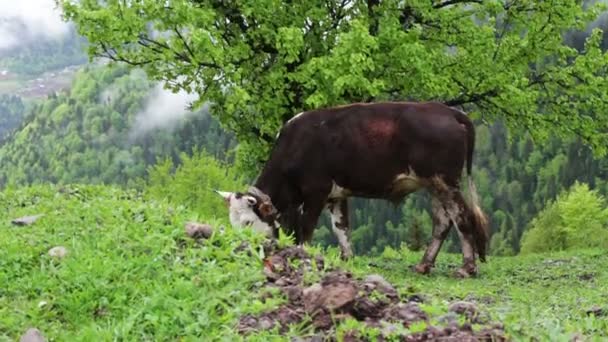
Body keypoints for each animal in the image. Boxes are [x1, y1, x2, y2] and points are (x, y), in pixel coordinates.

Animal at [216, 100, 492, 276]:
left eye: (248, 222)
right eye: (232, 222)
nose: (240, 249)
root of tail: (448, 111)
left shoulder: (316, 191)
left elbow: (307, 229)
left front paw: (303, 256)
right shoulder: (335, 195)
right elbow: (341, 228)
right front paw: (347, 259)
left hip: (444, 181)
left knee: (461, 217)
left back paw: (467, 268)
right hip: (434, 184)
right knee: (442, 222)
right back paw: (423, 265)